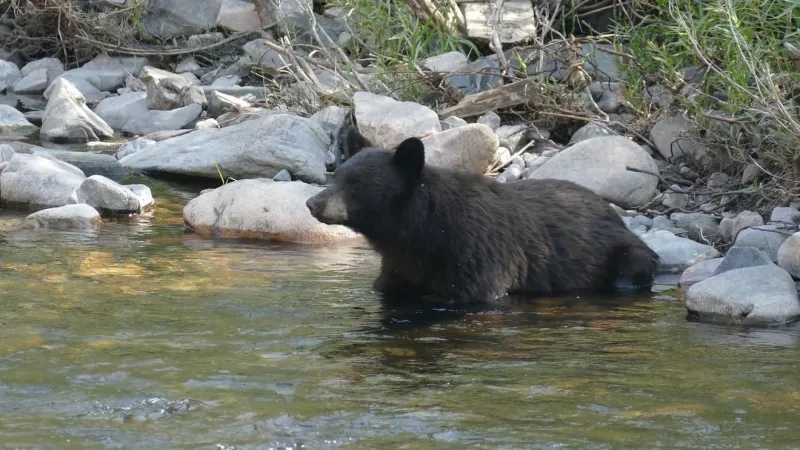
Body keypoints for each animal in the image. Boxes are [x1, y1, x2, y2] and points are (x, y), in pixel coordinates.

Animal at [305, 126, 660, 305]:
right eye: (337, 175)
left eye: (356, 183)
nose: (312, 203)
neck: (420, 233)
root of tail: (614, 214)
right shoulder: (400, 264)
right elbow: (387, 286)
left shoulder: (477, 254)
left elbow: (477, 291)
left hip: (623, 253)